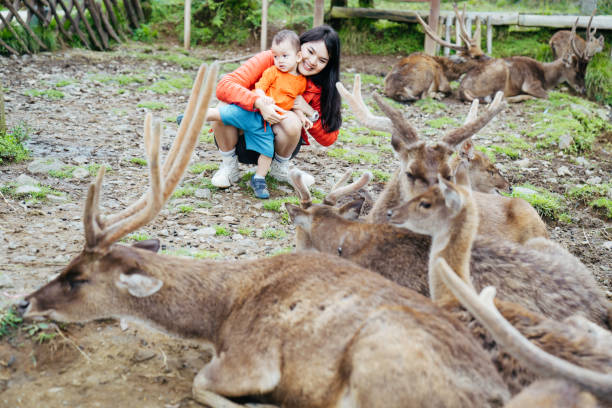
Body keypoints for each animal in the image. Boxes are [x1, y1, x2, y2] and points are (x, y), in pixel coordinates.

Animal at [17, 63, 516, 408]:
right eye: (65, 264)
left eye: (78, 278)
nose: (24, 302)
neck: (218, 315)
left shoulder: (253, 359)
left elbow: (202, 384)